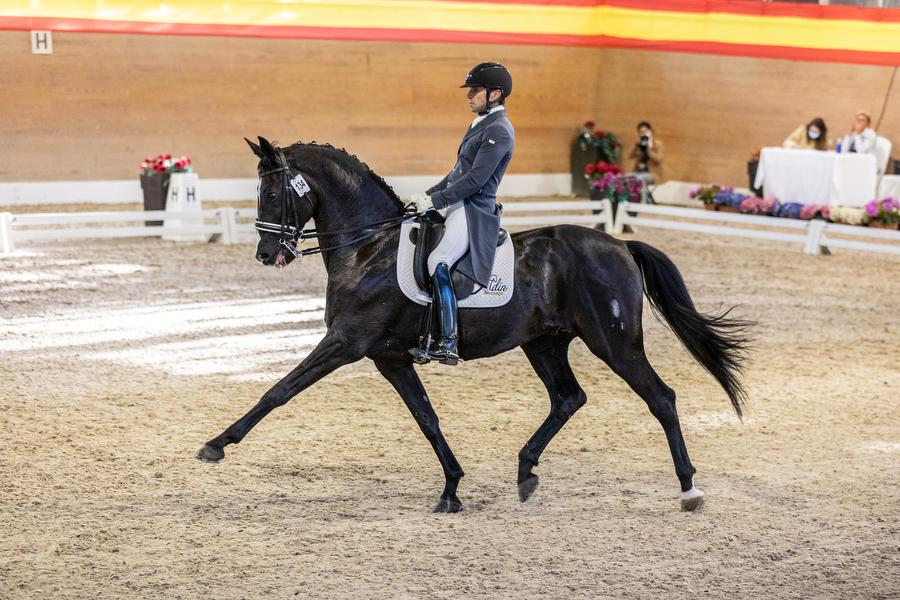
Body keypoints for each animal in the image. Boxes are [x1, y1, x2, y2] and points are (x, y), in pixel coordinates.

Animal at [199, 136, 752, 510]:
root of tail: (619, 244)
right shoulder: (389, 357)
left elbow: (279, 389)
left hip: (614, 344)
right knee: (568, 398)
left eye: (273, 195)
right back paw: (526, 472)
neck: (369, 247)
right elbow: (427, 419)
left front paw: (216, 445)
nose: (267, 254)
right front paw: (451, 488)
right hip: (544, 343)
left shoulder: (346, 342)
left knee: (661, 398)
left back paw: (689, 489)